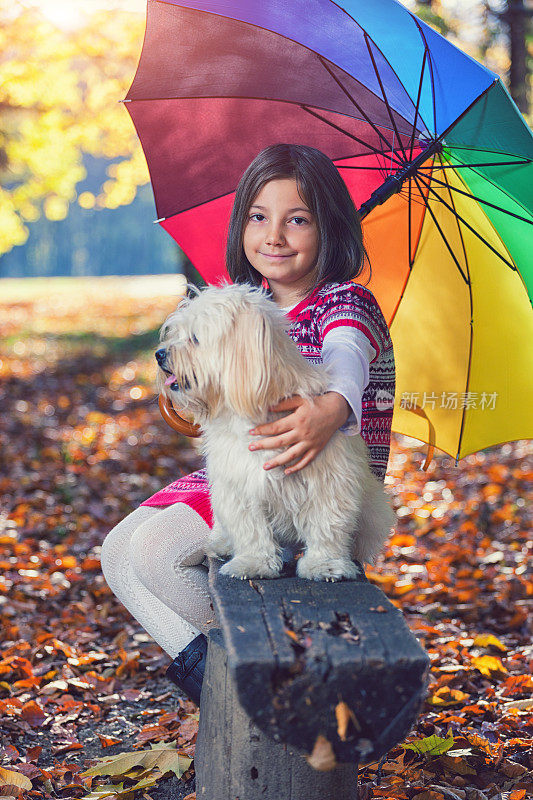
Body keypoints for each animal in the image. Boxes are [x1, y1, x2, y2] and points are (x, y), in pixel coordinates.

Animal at [156, 282, 392, 580]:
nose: (159, 354)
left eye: (195, 338)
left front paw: (324, 564)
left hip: (375, 510)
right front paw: (254, 563)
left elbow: (327, 526)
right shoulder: (240, 485)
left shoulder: (329, 480)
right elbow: (251, 530)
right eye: (174, 333)